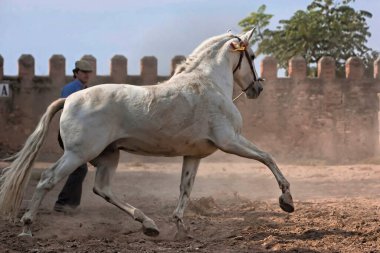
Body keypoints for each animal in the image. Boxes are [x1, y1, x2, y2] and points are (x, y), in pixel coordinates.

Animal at [0, 29, 294, 237]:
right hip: (77, 154)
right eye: (252, 57)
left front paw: (180, 228)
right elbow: (267, 157)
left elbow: (185, 188)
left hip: (108, 156)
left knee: (102, 188)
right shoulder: (230, 141)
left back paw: (149, 224)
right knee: (47, 180)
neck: (208, 85)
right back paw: (26, 227)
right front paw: (286, 200)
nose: (258, 89)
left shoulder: (194, 155)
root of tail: (70, 98)